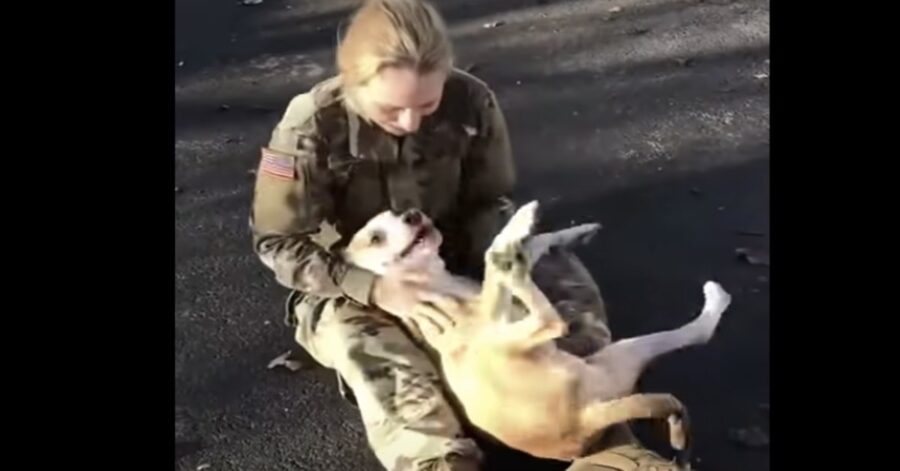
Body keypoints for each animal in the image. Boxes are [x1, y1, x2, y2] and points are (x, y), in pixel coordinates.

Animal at [342, 201, 732, 462]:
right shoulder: (492, 311)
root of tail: (582, 421)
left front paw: (572, 232)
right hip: (517, 344)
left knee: (697, 333)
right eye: (375, 238)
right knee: (547, 317)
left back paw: (717, 298)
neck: (431, 282)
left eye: (397, 212)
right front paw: (518, 233)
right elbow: (498, 260)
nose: (411, 213)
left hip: (615, 357)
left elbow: (534, 246)